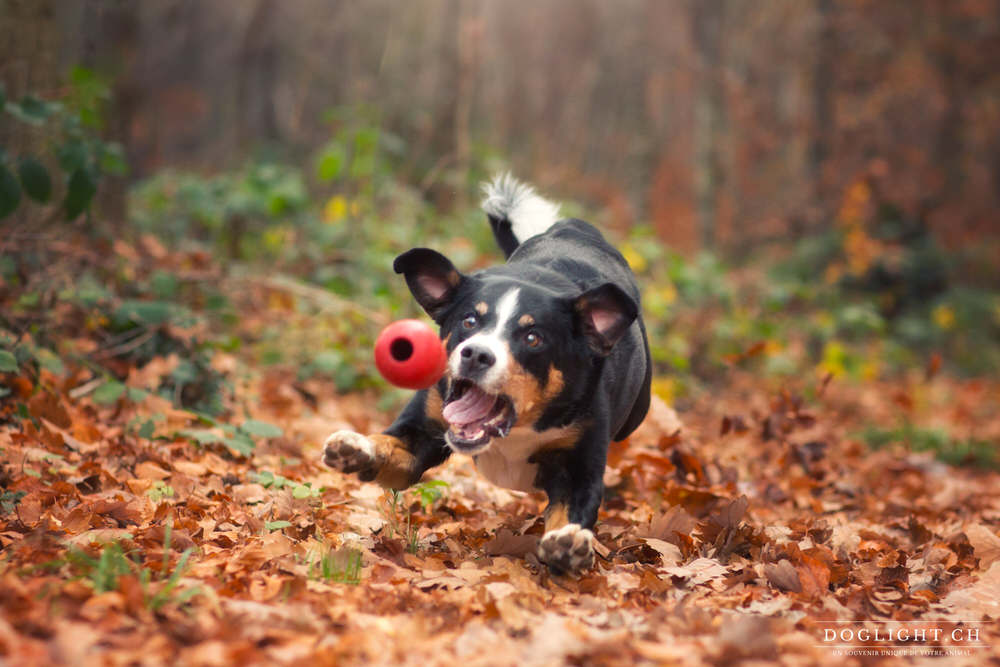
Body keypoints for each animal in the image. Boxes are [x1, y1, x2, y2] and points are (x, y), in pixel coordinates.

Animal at [324, 174, 652, 576]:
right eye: (469, 321)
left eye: (532, 337)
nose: (477, 354)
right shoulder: (420, 434)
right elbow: (389, 447)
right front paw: (358, 449)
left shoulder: (581, 466)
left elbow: (571, 513)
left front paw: (568, 544)